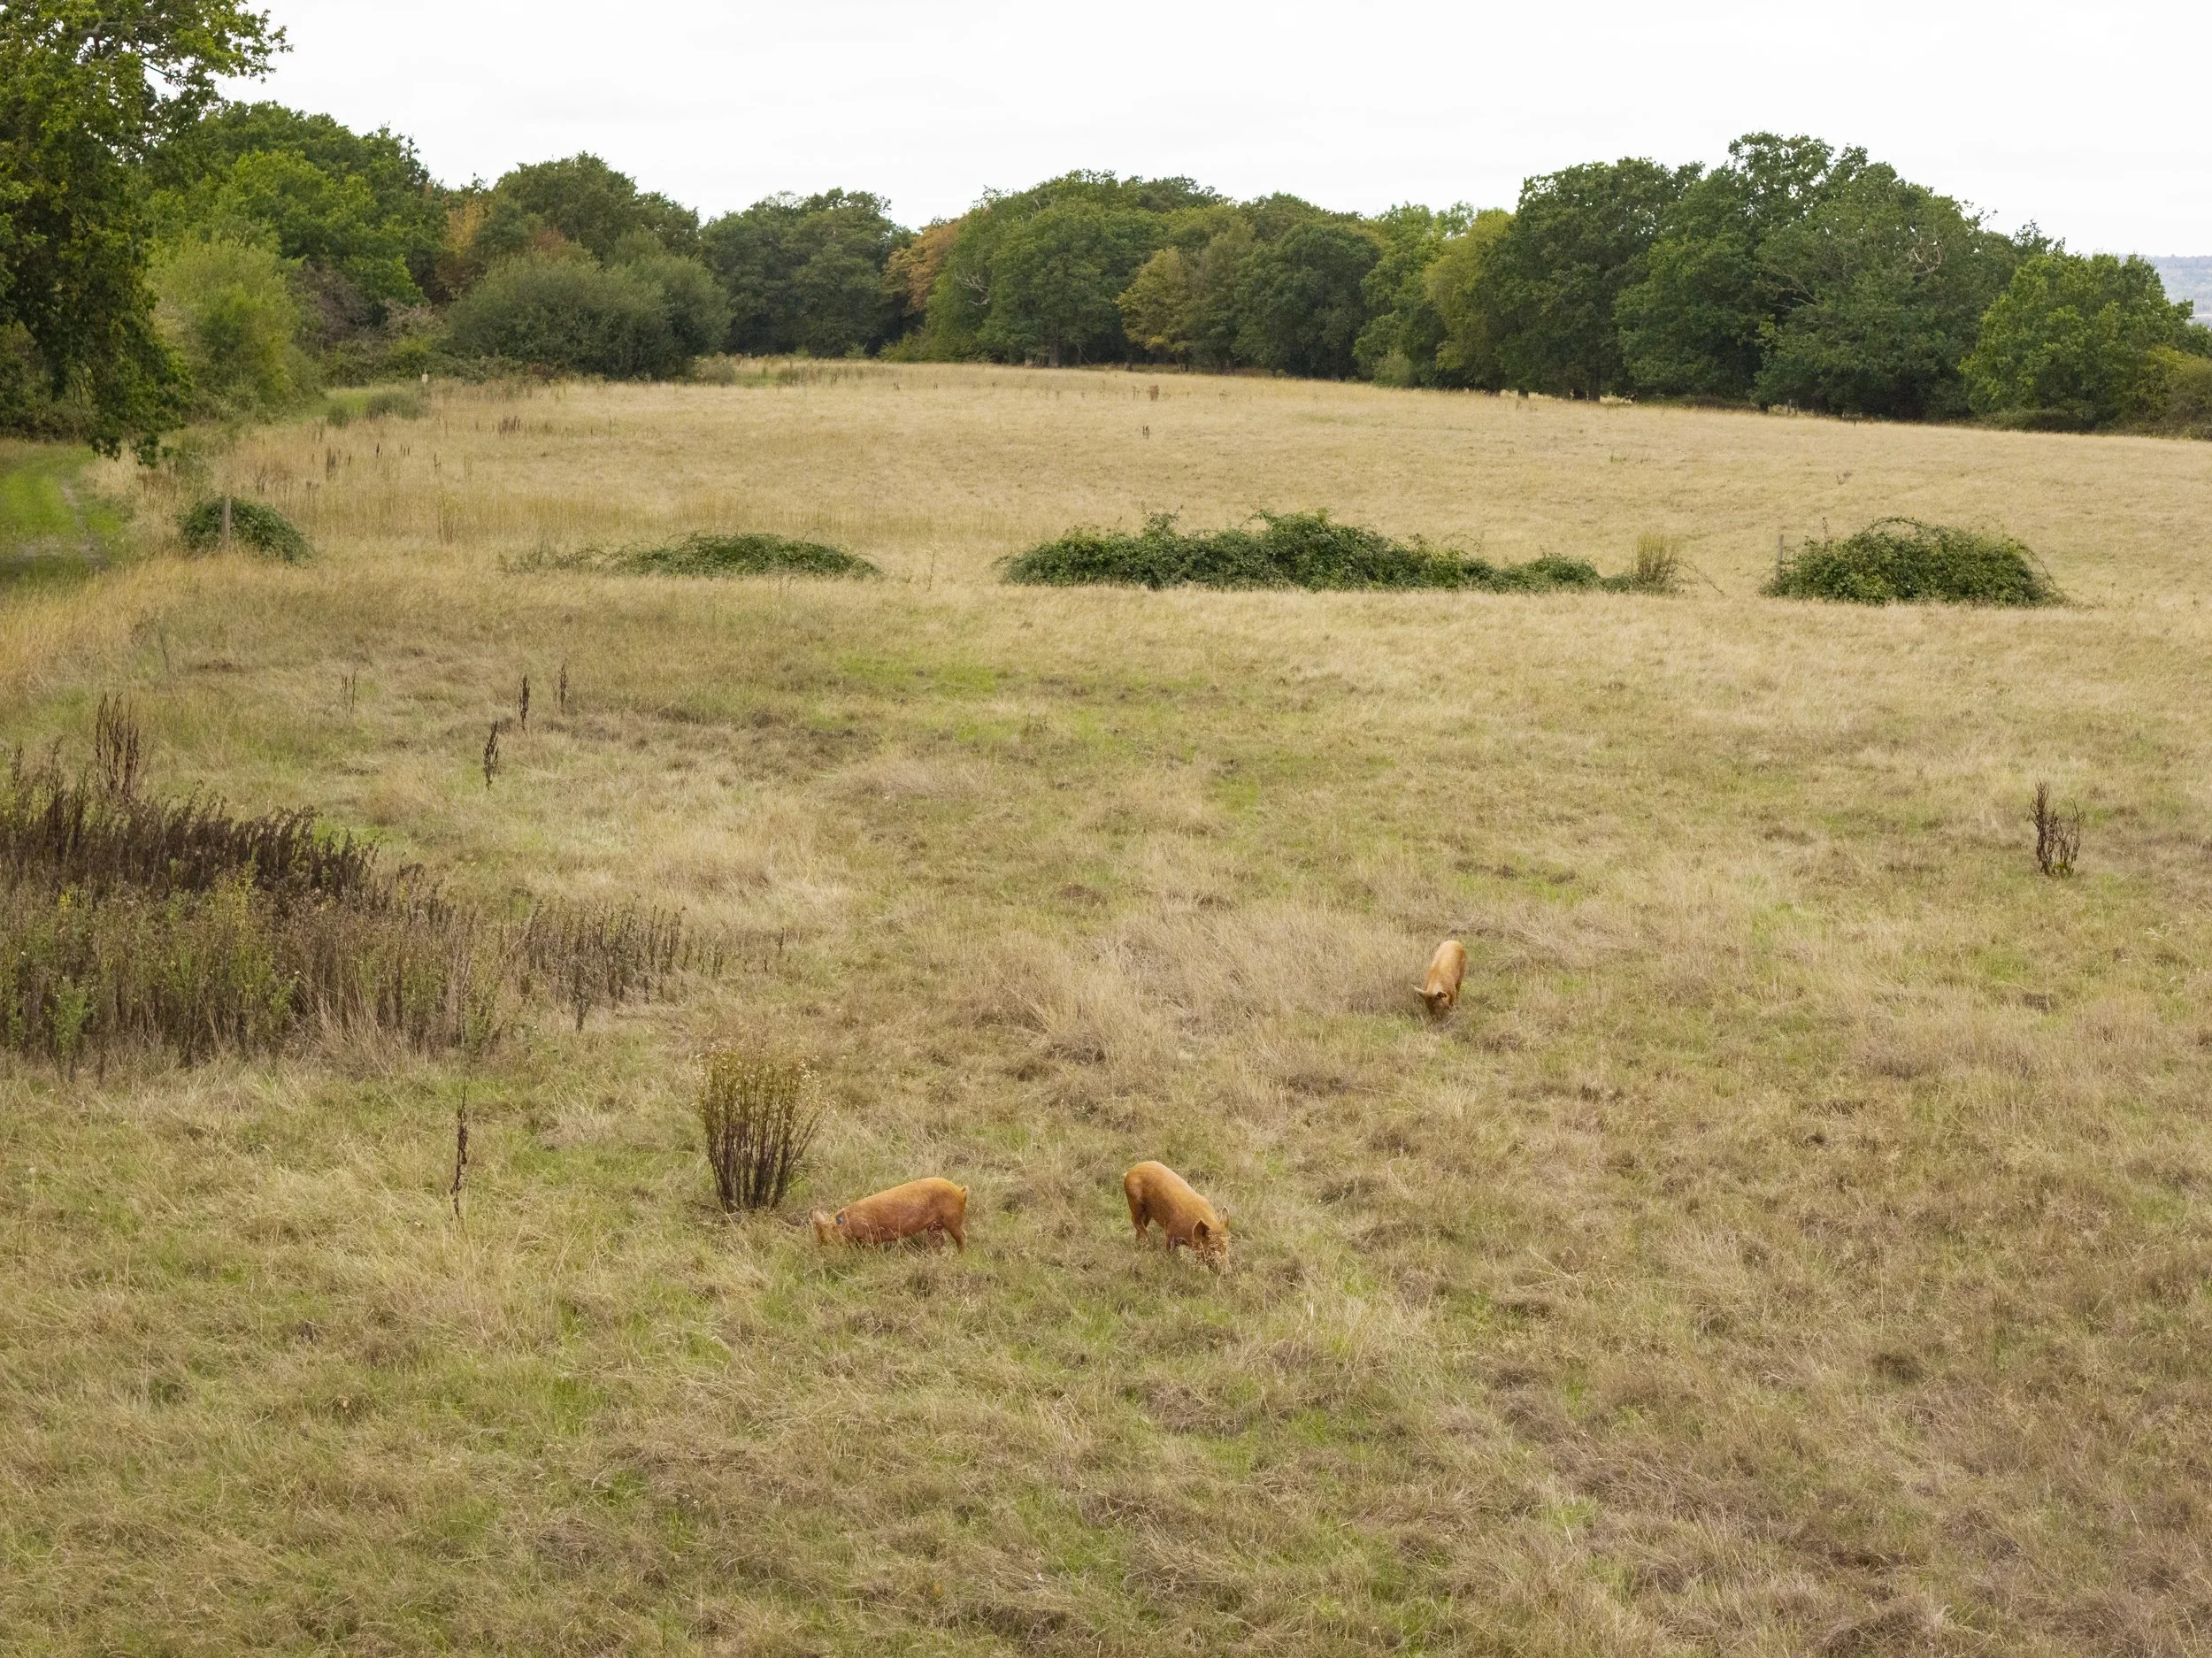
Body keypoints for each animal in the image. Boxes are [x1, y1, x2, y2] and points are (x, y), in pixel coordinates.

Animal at [811, 1177, 969, 1251]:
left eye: (827, 1239)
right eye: (818, 1238)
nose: (820, 1253)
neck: (850, 1223)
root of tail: (960, 1190)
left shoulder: (870, 1236)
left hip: (952, 1218)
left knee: (962, 1235)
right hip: (935, 1225)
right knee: (940, 1240)